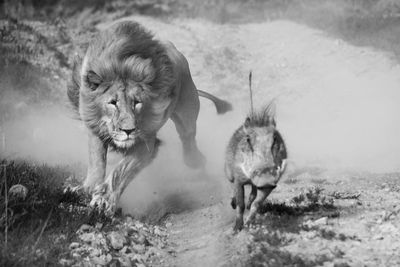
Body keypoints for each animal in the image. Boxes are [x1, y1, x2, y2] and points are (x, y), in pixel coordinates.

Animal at [67, 21, 233, 214]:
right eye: (113, 103)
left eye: (137, 102)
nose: (128, 130)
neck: (121, 64)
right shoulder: (95, 127)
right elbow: (96, 162)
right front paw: (84, 189)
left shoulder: (146, 142)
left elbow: (120, 170)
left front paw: (104, 200)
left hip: (186, 112)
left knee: (188, 137)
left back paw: (195, 160)